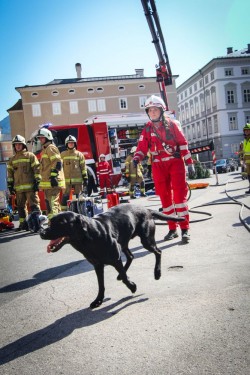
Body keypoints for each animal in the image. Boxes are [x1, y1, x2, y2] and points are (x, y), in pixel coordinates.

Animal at [39, 206, 184, 308]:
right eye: (50, 222)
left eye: (61, 222)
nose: (41, 232)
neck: (89, 237)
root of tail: (146, 209)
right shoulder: (98, 266)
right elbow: (101, 285)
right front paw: (98, 300)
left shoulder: (115, 258)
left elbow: (125, 278)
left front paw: (132, 286)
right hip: (124, 242)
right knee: (131, 256)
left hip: (146, 240)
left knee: (158, 252)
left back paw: (157, 273)